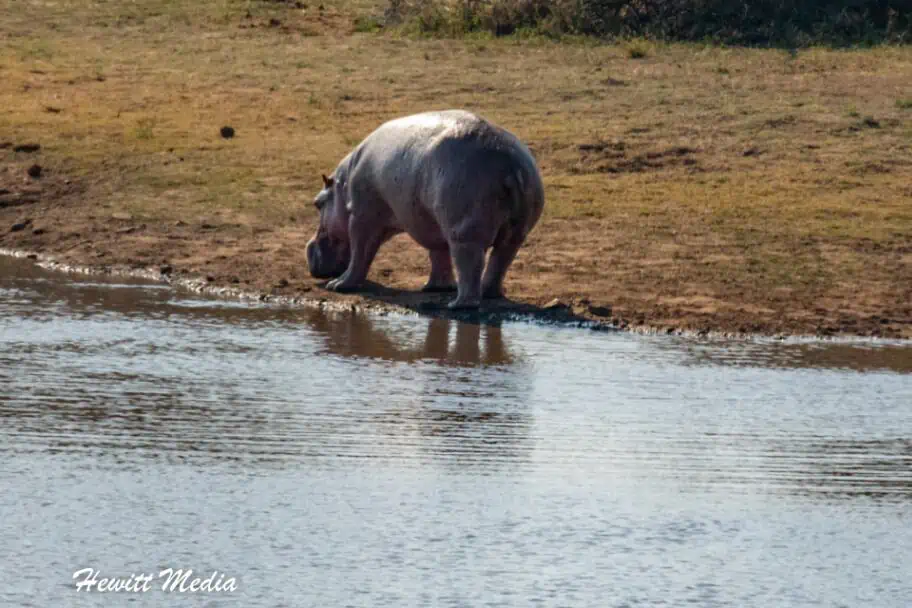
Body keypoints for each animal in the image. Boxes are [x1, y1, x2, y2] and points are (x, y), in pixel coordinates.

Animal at [305, 109, 545, 309]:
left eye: (317, 203)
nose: (308, 248)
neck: (342, 187)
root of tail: (511, 165)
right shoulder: (429, 222)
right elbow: (438, 253)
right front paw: (435, 287)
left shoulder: (362, 217)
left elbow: (360, 251)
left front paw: (339, 285)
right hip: (516, 231)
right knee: (501, 258)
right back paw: (487, 293)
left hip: (464, 232)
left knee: (470, 263)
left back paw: (458, 305)